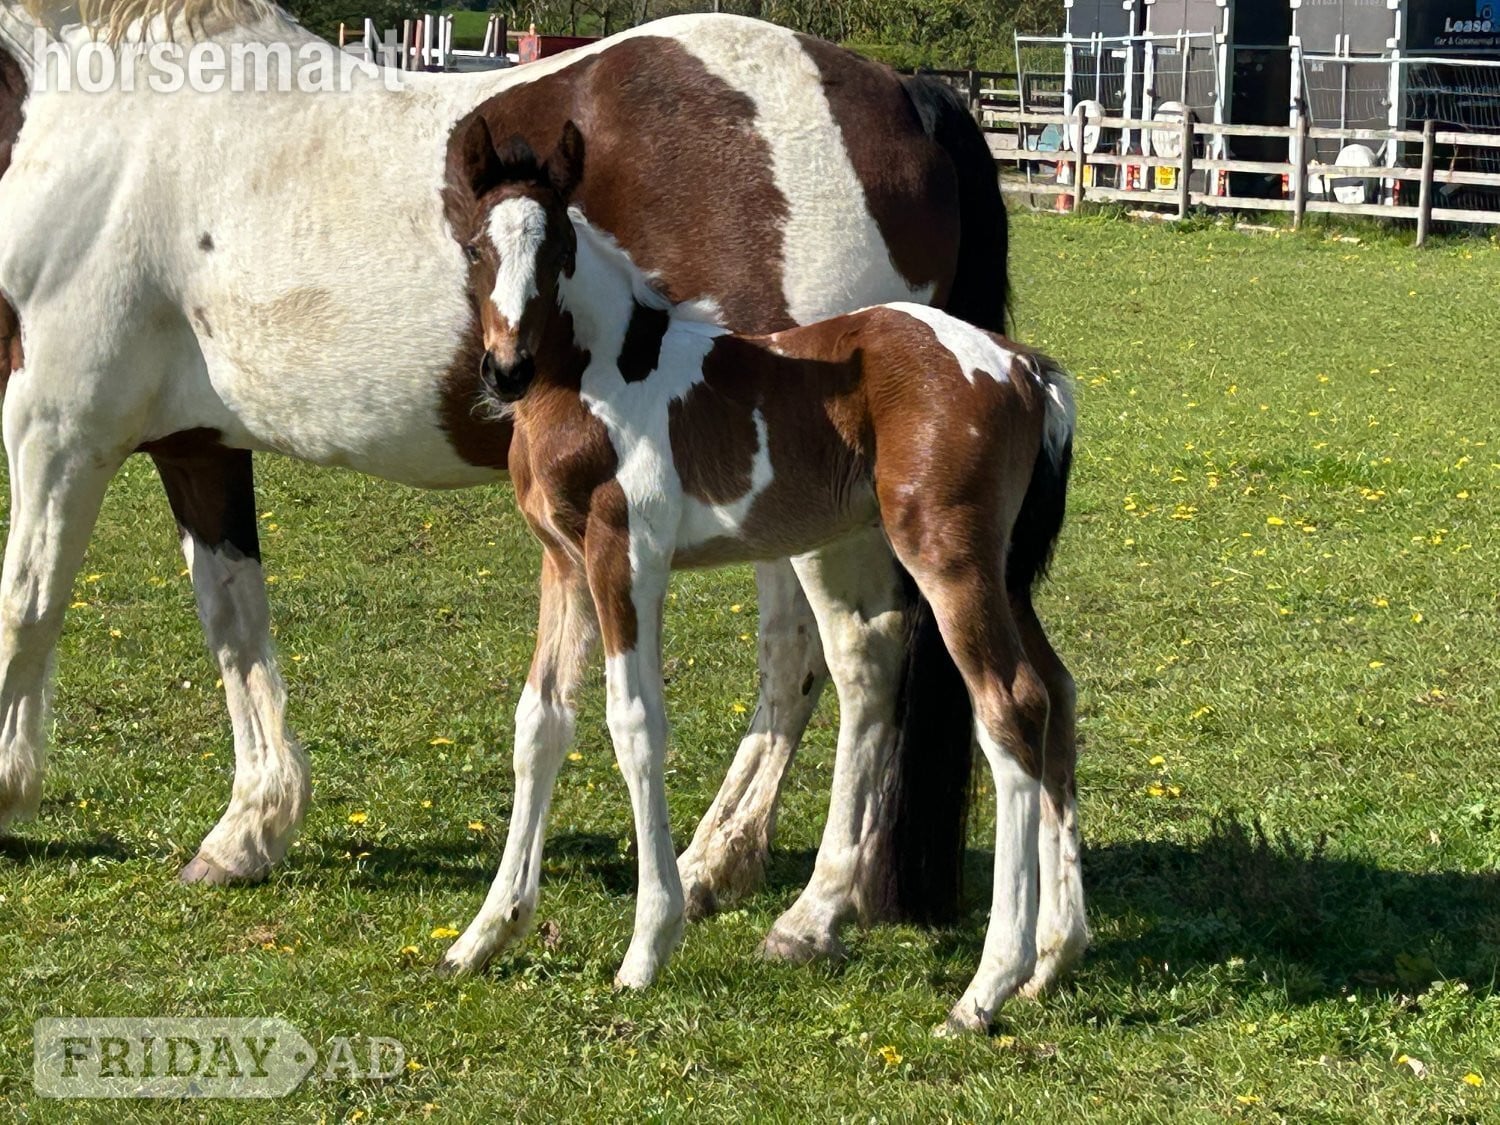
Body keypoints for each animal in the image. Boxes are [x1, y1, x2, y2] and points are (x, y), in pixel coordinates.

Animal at [0, 0, 1009, 950]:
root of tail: (901, 94)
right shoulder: (195, 445)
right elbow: (232, 618)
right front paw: (251, 827)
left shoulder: (57, 428)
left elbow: (26, 607)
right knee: (796, 659)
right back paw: (714, 863)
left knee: (861, 657)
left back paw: (812, 912)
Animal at [448, 117, 1085, 1030]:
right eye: (475, 246)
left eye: (560, 248)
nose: (506, 370)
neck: (601, 376)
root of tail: (1027, 369)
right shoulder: (562, 564)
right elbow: (540, 723)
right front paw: (484, 934)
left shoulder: (626, 556)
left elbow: (635, 725)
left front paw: (648, 945)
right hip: (996, 568)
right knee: (1058, 692)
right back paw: (1054, 958)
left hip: (948, 557)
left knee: (1012, 706)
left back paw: (984, 988)